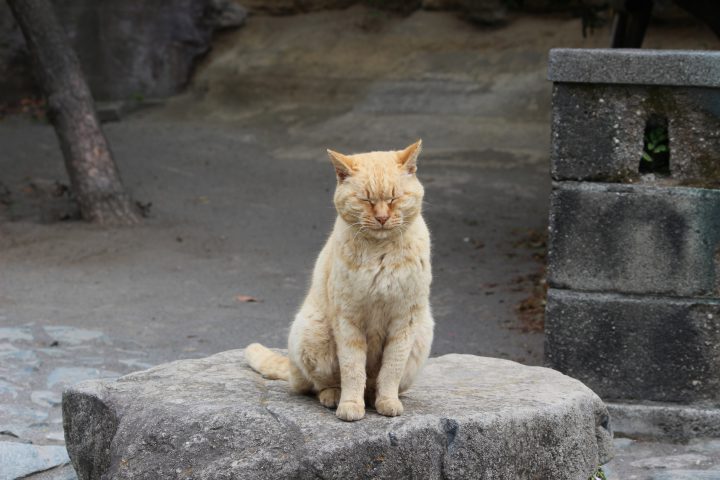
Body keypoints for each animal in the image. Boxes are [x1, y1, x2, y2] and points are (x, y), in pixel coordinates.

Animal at [246, 141, 434, 422]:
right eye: (366, 199)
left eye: (394, 198)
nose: (381, 218)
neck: (380, 252)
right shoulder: (348, 319)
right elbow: (352, 369)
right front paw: (350, 405)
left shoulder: (405, 320)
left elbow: (391, 369)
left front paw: (387, 401)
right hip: (314, 331)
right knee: (318, 385)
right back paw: (334, 397)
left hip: (423, 332)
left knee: (374, 384)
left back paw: (374, 397)